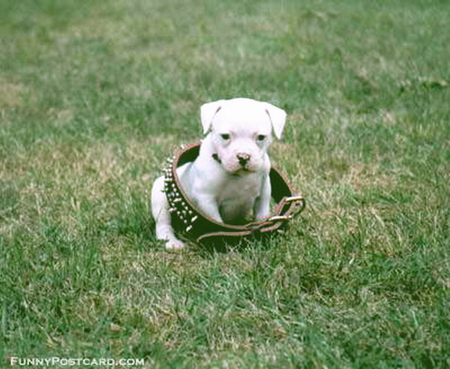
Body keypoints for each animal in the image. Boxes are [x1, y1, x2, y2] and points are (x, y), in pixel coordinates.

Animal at [150, 96, 284, 249]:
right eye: (225, 136)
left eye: (261, 137)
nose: (243, 156)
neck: (238, 176)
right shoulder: (206, 199)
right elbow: (217, 222)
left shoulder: (264, 192)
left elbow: (262, 215)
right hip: (160, 197)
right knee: (163, 222)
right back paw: (172, 241)